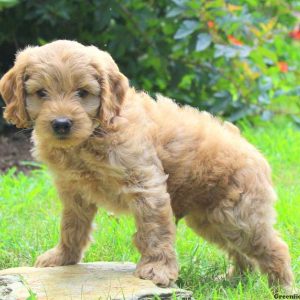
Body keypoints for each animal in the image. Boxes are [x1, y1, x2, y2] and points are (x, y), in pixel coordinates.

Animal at [0, 39, 294, 290]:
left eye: (82, 93)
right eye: (41, 93)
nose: (61, 124)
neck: (94, 134)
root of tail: (253, 150)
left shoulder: (145, 183)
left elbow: (154, 229)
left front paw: (157, 270)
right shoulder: (74, 191)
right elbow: (72, 226)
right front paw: (63, 258)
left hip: (238, 215)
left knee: (273, 247)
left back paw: (282, 289)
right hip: (211, 220)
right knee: (241, 252)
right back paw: (234, 280)